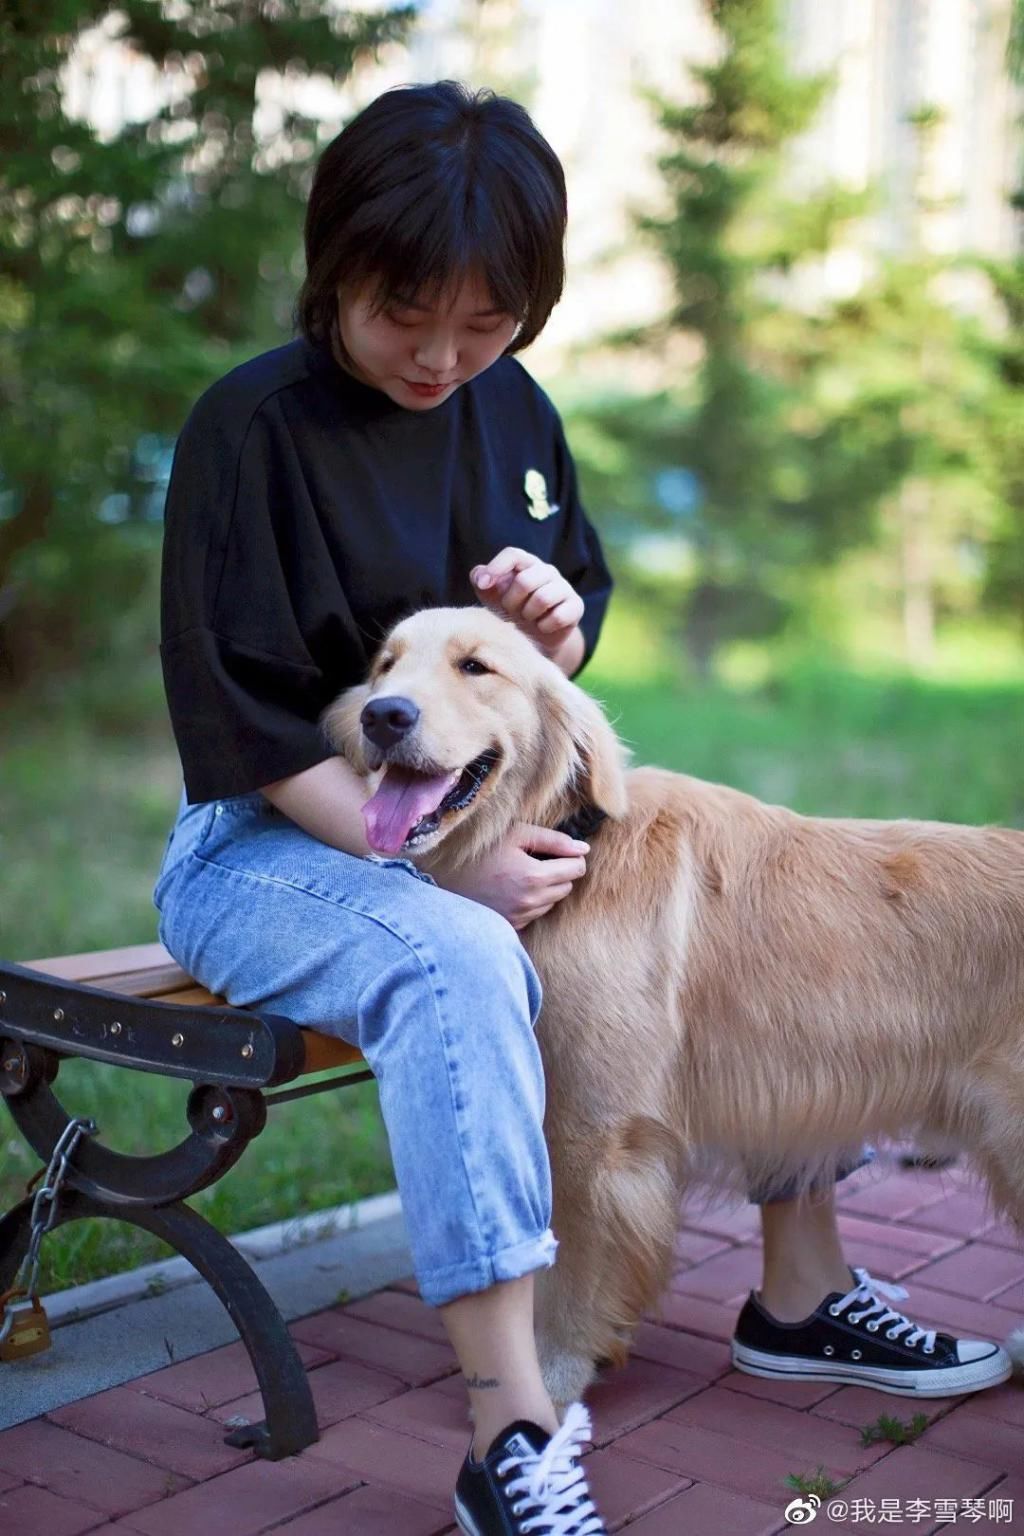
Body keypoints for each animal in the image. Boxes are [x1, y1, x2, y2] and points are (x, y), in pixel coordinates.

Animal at [323, 605, 1024, 1406]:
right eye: (385, 665)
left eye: (475, 666)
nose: (382, 715)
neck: (575, 843)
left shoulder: (595, 1133)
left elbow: (573, 1276)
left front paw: (554, 1380)